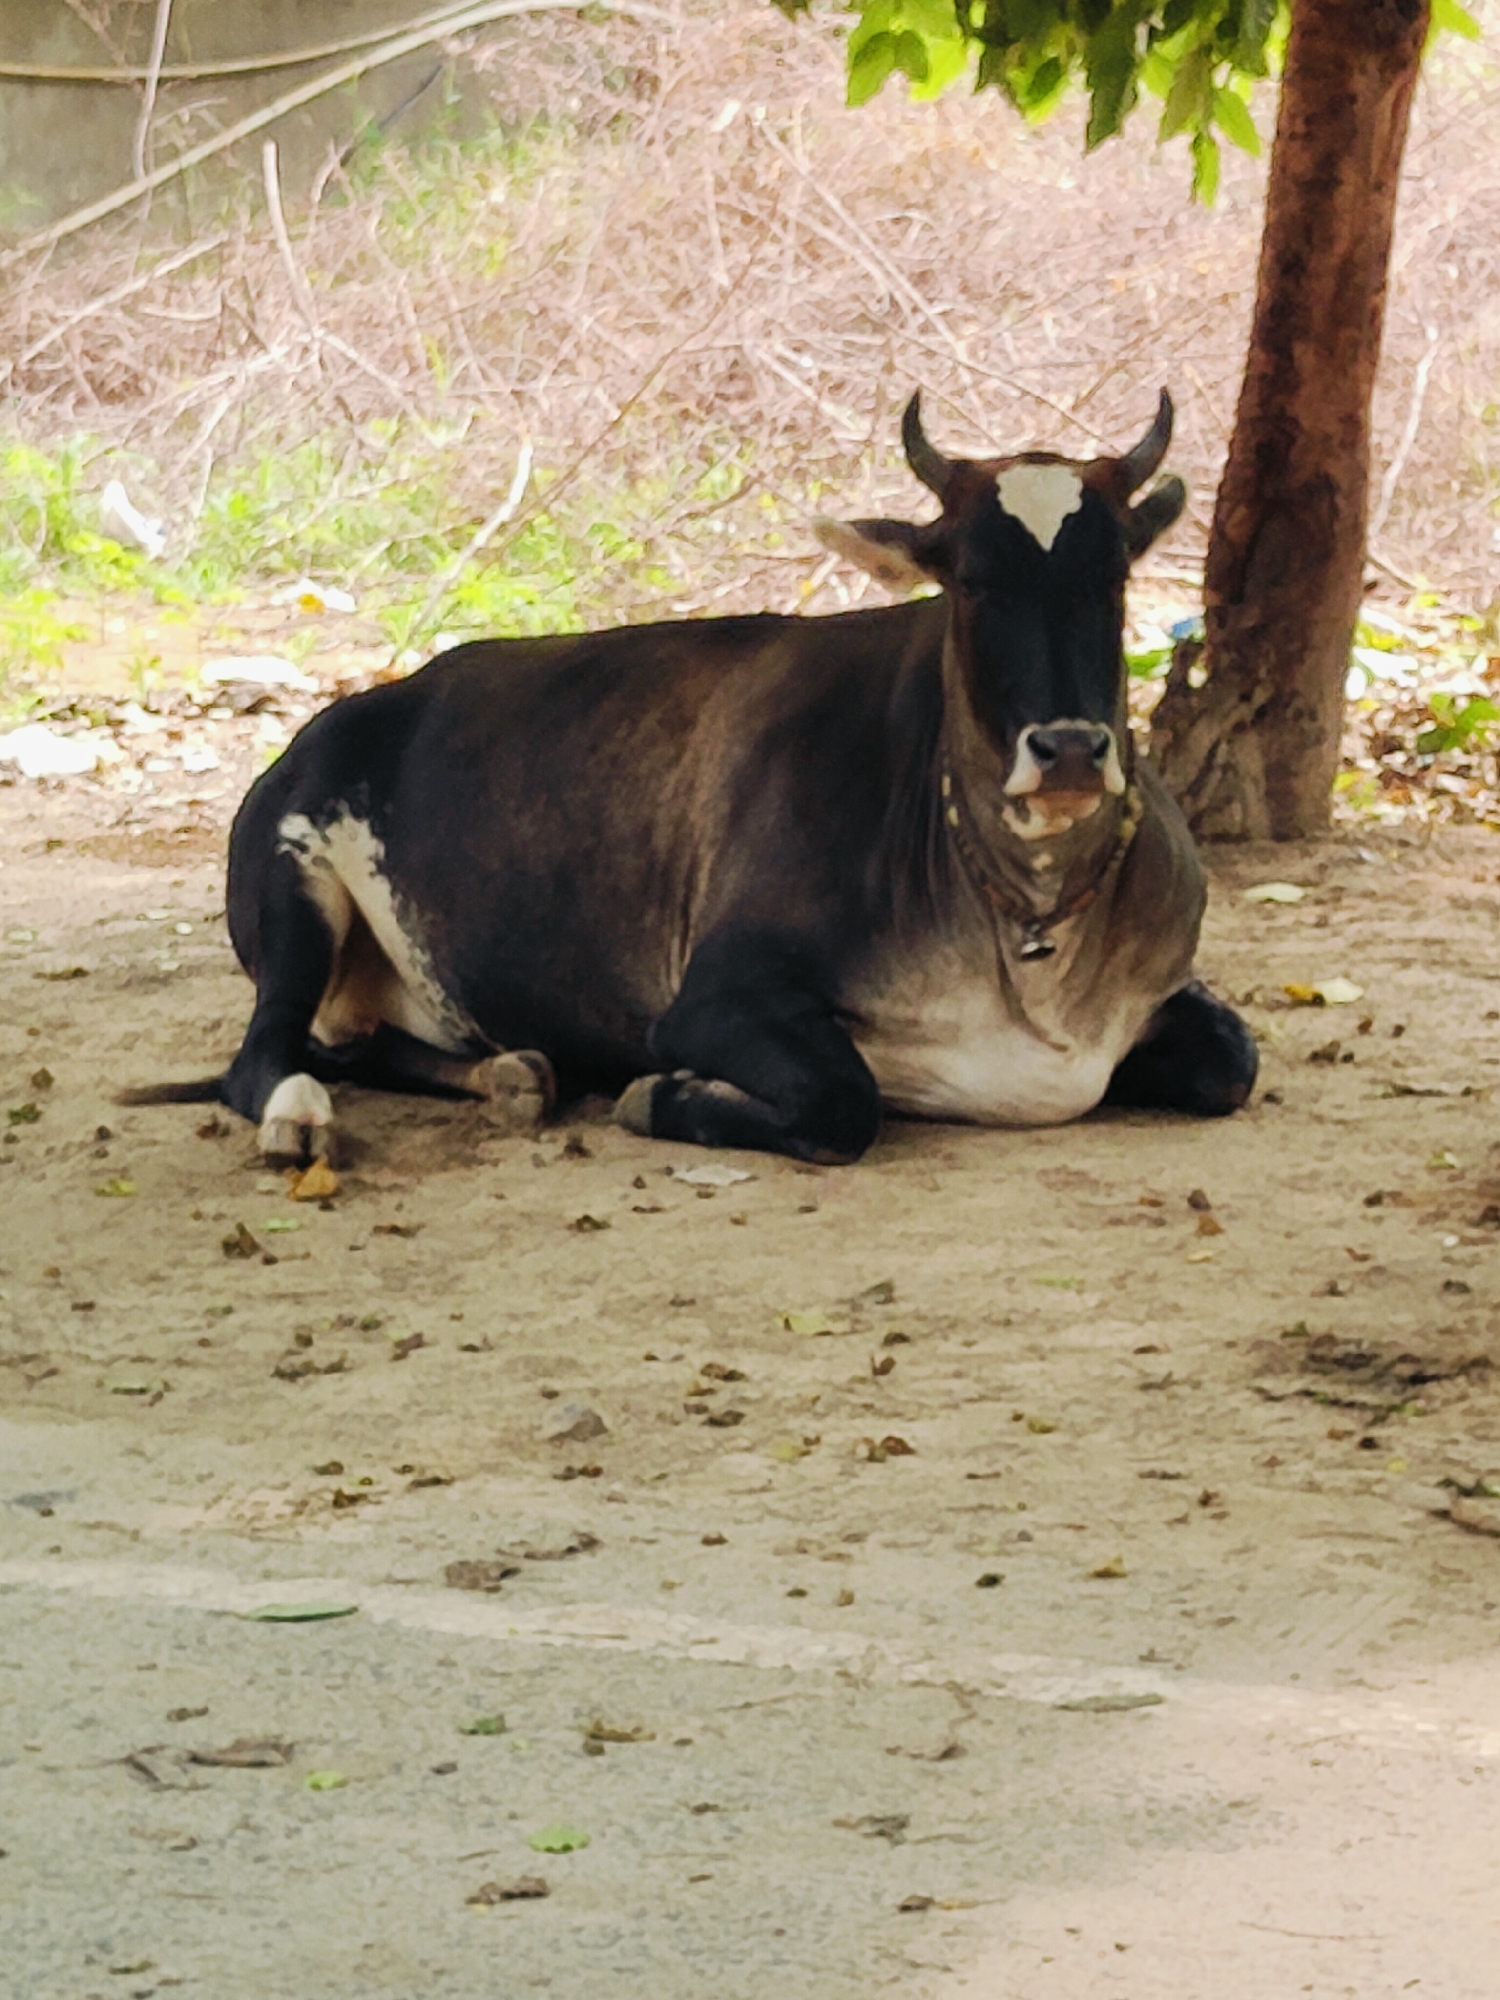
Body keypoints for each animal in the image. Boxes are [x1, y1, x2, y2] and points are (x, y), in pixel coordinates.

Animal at [123, 389, 1256, 1164]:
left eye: (1111, 576)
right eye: (972, 579)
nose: (1068, 748)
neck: (1026, 921)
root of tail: (333, 722)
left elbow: (1232, 1061)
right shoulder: (710, 1000)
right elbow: (842, 1101)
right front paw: (655, 1096)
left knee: (362, 1045)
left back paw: (513, 1072)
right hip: (294, 887)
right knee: (267, 1056)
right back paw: (301, 1118)